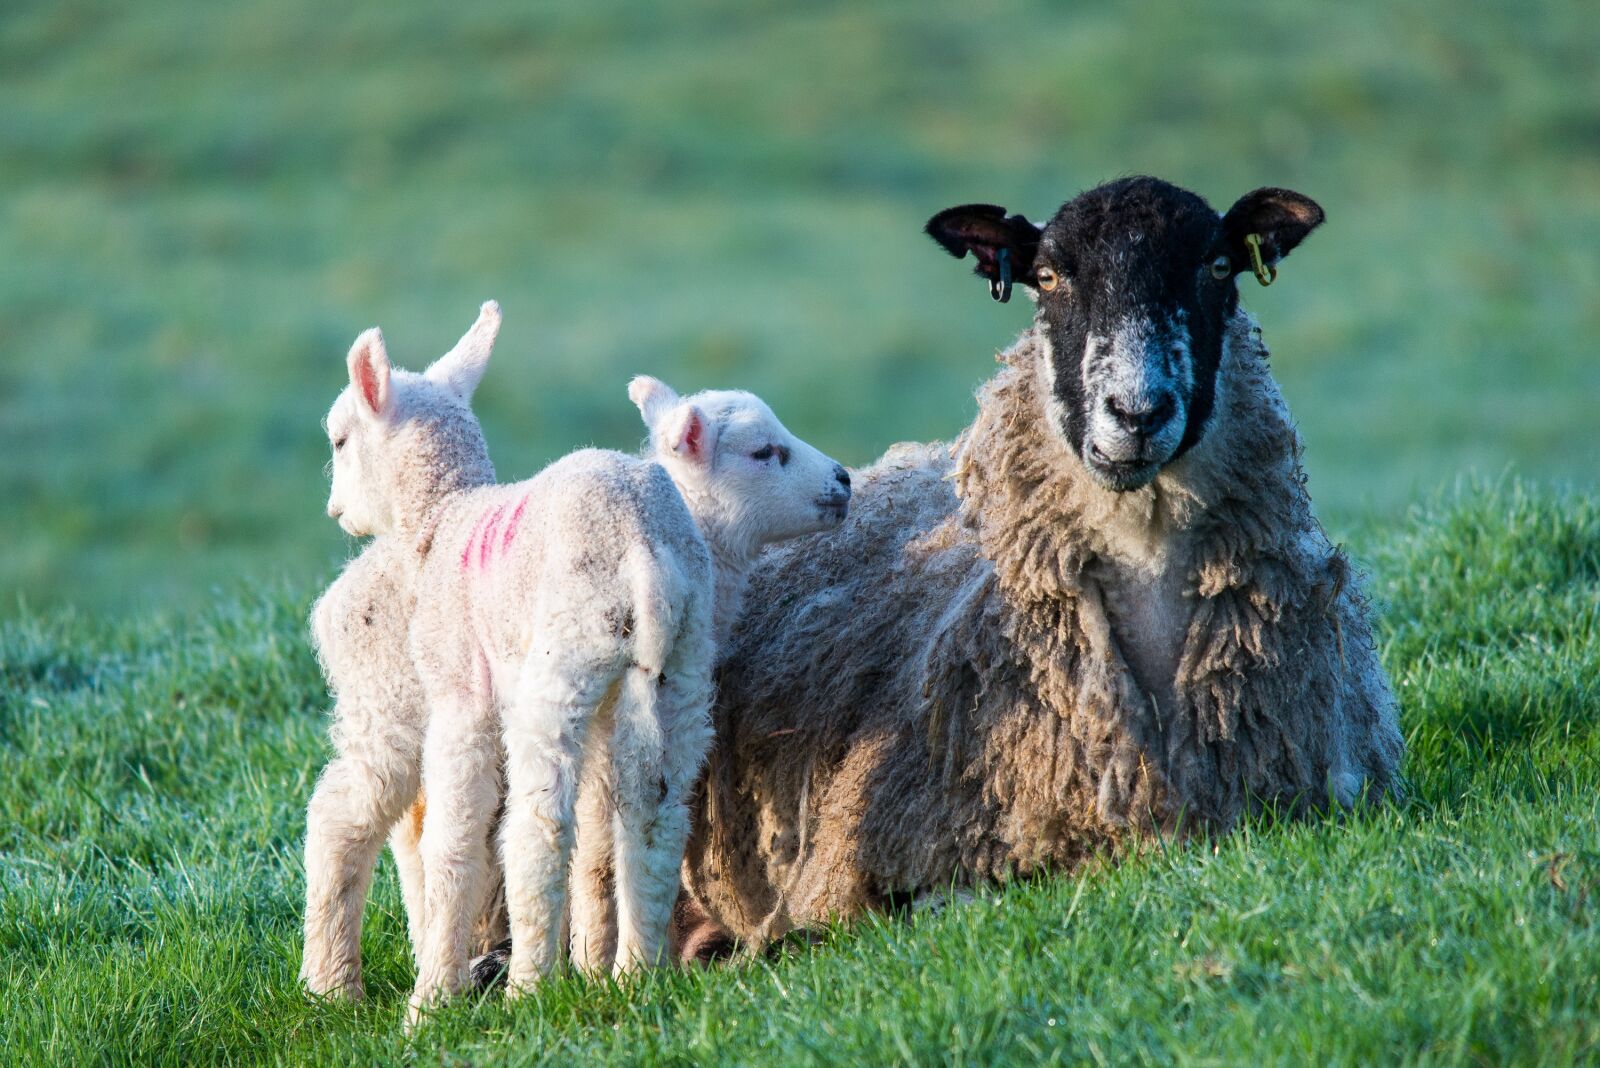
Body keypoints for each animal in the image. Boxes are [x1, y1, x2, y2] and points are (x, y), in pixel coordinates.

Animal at [322, 308, 851, 1018]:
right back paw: (627, 973)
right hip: (672, 678)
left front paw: (439, 1004)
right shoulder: (618, 709)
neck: (442, 518)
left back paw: (480, 984)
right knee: (653, 821)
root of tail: (643, 549)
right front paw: (592, 967)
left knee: (513, 828)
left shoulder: (466, 698)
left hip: (544, 675)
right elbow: (600, 845)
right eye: (766, 452)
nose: (845, 481)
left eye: (338, 441)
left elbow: (469, 839)